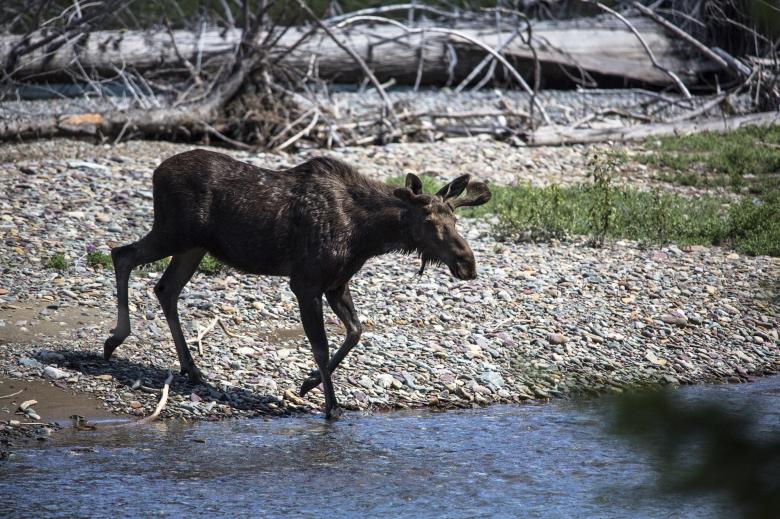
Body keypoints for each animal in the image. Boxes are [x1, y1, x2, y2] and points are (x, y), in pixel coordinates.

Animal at [103, 150, 491, 419]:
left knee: (164, 288)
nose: (467, 263)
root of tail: (157, 171)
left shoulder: (336, 283)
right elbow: (320, 345)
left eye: (454, 218)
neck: (368, 235)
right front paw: (331, 406)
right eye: (428, 220)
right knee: (121, 254)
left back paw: (191, 368)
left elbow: (355, 331)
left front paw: (308, 384)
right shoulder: (305, 282)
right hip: (174, 233)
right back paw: (115, 339)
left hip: (193, 246)